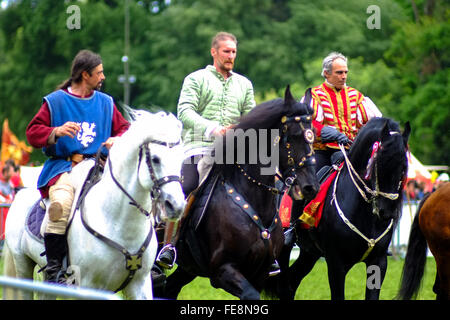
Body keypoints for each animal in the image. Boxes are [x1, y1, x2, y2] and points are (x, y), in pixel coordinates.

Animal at [2, 110, 185, 300]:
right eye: (155, 159)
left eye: (181, 159)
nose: (176, 205)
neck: (118, 223)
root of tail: (19, 193)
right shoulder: (88, 285)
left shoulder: (140, 284)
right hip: (22, 266)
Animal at [268, 117, 412, 300]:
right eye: (380, 163)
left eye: (404, 166)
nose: (387, 211)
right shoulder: (336, 264)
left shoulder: (378, 262)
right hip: (283, 250)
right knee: (284, 286)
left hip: (310, 253)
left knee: (292, 282)